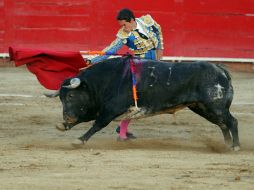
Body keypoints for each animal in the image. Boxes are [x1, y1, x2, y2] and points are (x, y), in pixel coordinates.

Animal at [56, 55, 240, 151]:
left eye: (71, 96)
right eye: (61, 98)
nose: (67, 118)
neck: (104, 81)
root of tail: (220, 70)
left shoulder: (111, 109)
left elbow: (98, 124)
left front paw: (79, 140)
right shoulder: (96, 108)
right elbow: (85, 118)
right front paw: (64, 126)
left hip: (215, 106)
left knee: (231, 121)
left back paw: (236, 146)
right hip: (202, 107)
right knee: (222, 124)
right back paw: (226, 145)